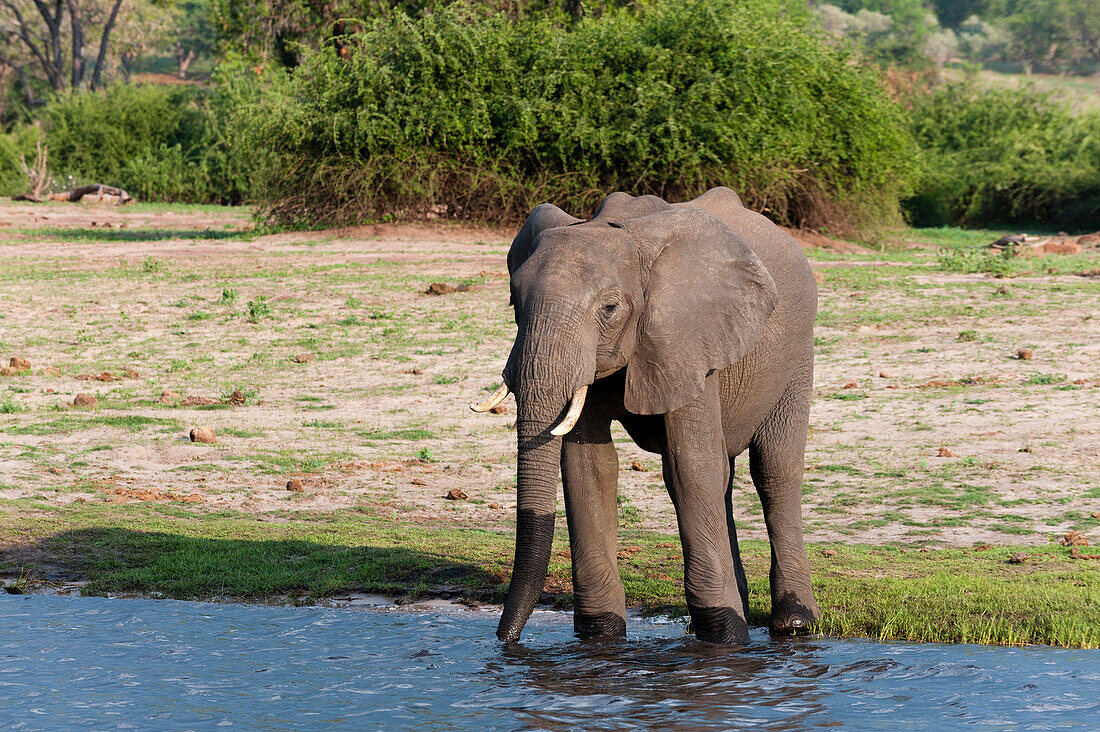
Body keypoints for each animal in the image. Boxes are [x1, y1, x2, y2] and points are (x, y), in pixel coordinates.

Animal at [468, 186, 822, 642]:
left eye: (609, 308)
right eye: (514, 301)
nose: (504, 640)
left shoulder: (687, 336)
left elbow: (689, 466)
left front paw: (725, 637)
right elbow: (589, 466)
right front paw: (601, 634)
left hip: (797, 355)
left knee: (775, 469)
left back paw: (795, 623)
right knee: (724, 475)